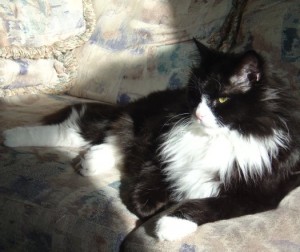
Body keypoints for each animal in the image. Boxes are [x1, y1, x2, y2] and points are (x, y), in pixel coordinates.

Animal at [2, 40, 300, 241]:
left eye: (222, 99)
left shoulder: (258, 194)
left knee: (106, 142)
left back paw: (89, 162)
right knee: (79, 130)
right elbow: (153, 175)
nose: (198, 114)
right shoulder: (161, 147)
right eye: (195, 95)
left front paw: (169, 224)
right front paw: (148, 206)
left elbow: (211, 205)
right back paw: (11, 136)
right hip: (138, 123)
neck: (213, 139)